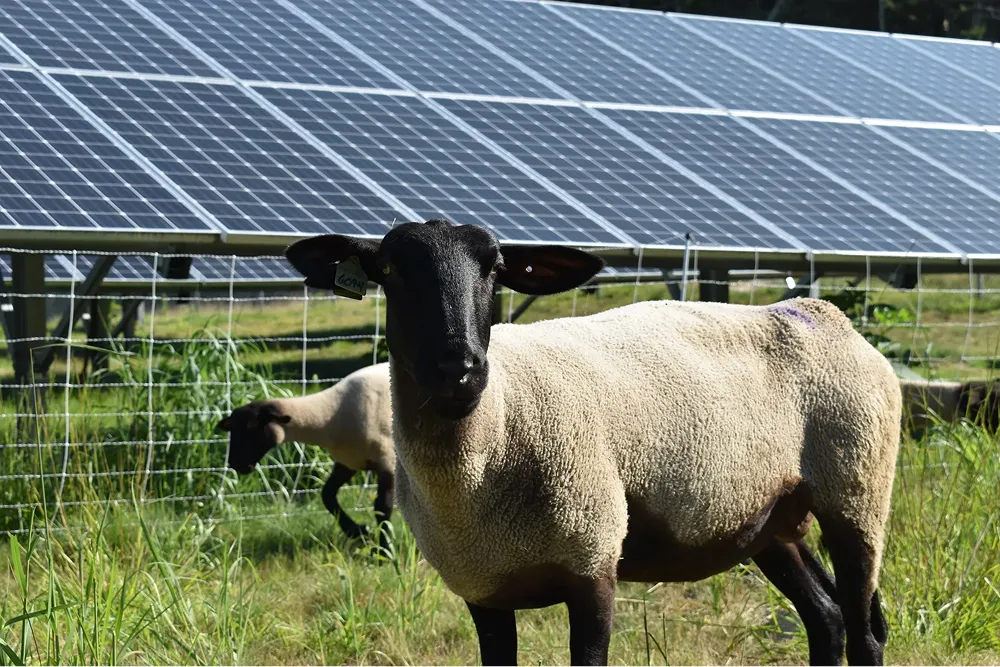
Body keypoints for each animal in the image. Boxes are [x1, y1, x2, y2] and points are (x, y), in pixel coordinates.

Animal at [216, 362, 395, 552]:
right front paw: (360, 532)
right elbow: (327, 495)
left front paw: (385, 550)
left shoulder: (387, 461)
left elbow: (382, 506)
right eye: (232, 430)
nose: (235, 463)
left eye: (250, 429)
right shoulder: (349, 462)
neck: (331, 415)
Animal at [285, 219, 902, 666]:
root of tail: (824, 314)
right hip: (768, 517)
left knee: (864, 630)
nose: (458, 370)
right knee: (826, 617)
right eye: (389, 269)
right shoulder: (483, 589)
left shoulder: (593, 563)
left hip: (857, 491)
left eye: (496, 269)